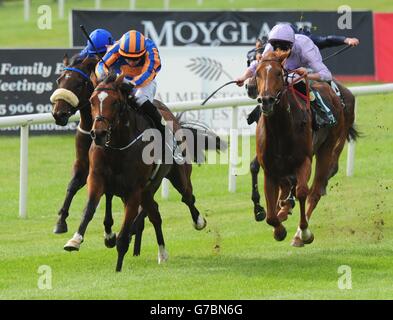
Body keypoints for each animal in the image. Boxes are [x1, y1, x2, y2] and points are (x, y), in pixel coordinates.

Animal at [254, 50, 358, 245]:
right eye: (257, 73)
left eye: (278, 73)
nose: (266, 101)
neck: (280, 129)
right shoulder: (270, 169)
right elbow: (270, 215)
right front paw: (279, 229)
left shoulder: (303, 161)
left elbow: (303, 191)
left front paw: (303, 232)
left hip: (328, 146)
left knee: (315, 190)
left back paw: (298, 235)